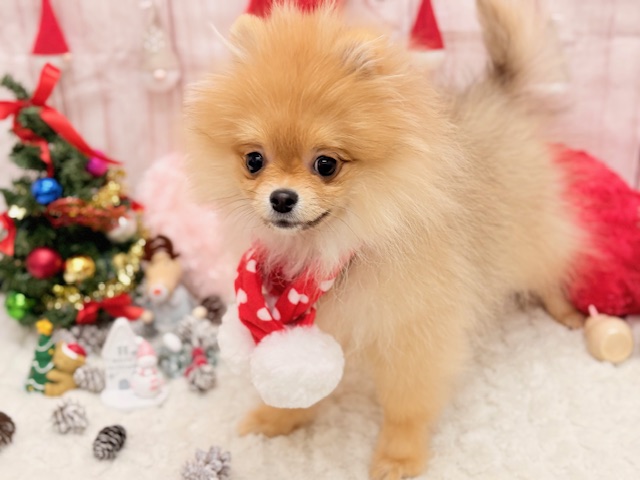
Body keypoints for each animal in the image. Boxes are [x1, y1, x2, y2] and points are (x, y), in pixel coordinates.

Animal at [184, 1, 585, 478]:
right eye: (253, 160)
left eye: (326, 164)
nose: (281, 198)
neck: (329, 249)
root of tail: (499, 93)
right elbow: (296, 383)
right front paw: (275, 418)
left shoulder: (414, 332)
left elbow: (405, 406)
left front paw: (398, 456)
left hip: (530, 233)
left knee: (551, 266)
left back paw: (566, 312)